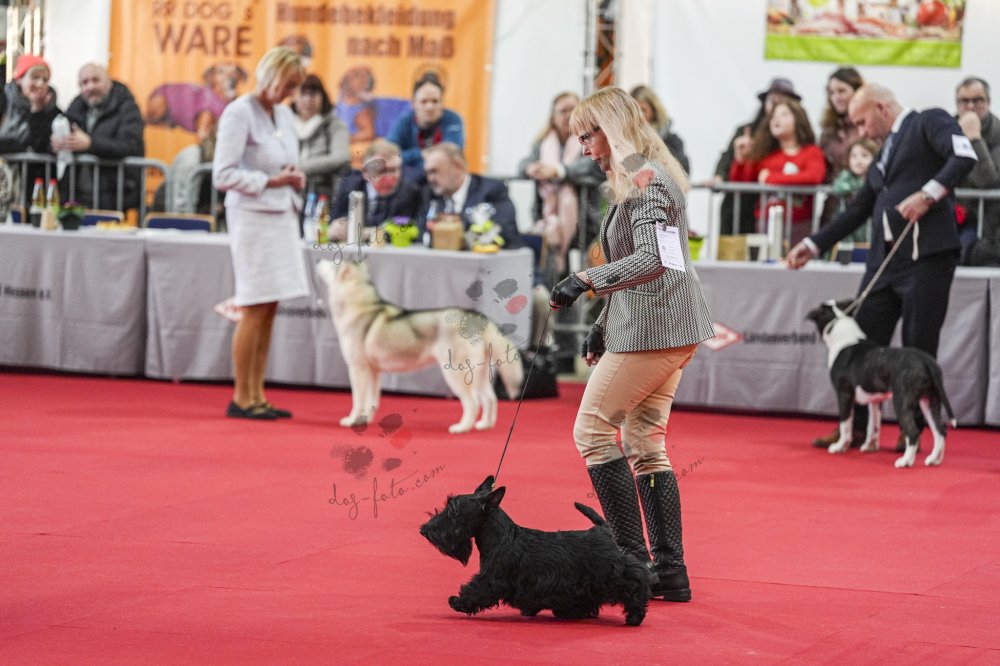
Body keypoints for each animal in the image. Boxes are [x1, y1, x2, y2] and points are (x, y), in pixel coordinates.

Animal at [315, 260, 523, 433]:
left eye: (334, 261)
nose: (317, 260)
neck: (360, 304)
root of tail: (476, 317)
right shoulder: (374, 371)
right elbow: (371, 401)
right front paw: (365, 419)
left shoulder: (358, 369)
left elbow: (358, 400)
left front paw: (352, 420)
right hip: (478, 375)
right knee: (490, 399)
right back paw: (484, 425)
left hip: (456, 374)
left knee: (472, 403)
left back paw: (462, 428)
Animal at [420, 476, 653, 626]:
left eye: (453, 511)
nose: (425, 529)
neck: (500, 536)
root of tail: (603, 531)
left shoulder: (493, 578)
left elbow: (476, 590)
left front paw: (458, 602)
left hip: (613, 572)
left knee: (636, 581)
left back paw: (635, 616)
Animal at [806, 300, 955, 468]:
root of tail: (926, 361)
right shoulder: (875, 401)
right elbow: (874, 425)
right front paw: (869, 447)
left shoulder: (844, 394)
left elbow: (845, 424)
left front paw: (839, 447)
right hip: (930, 399)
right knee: (940, 431)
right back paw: (934, 460)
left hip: (902, 400)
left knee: (913, 432)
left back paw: (905, 461)